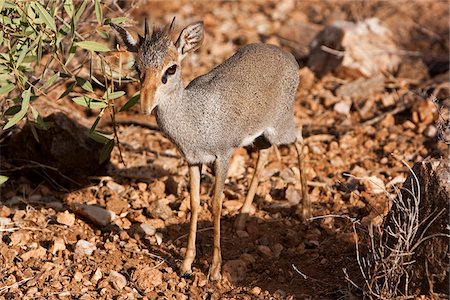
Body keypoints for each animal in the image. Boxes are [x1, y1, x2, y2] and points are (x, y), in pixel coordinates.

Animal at [112, 19, 310, 280]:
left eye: (171, 69)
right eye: (137, 67)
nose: (145, 106)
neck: (194, 116)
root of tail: (287, 55)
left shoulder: (223, 156)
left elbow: (216, 204)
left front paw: (215, 269)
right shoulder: (193, 160)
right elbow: (195, 202)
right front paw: (186, 265)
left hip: (280, 127)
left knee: (300, 138)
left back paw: (306, 212)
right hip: (262, 135)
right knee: (265, 153)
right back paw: (241, 221)